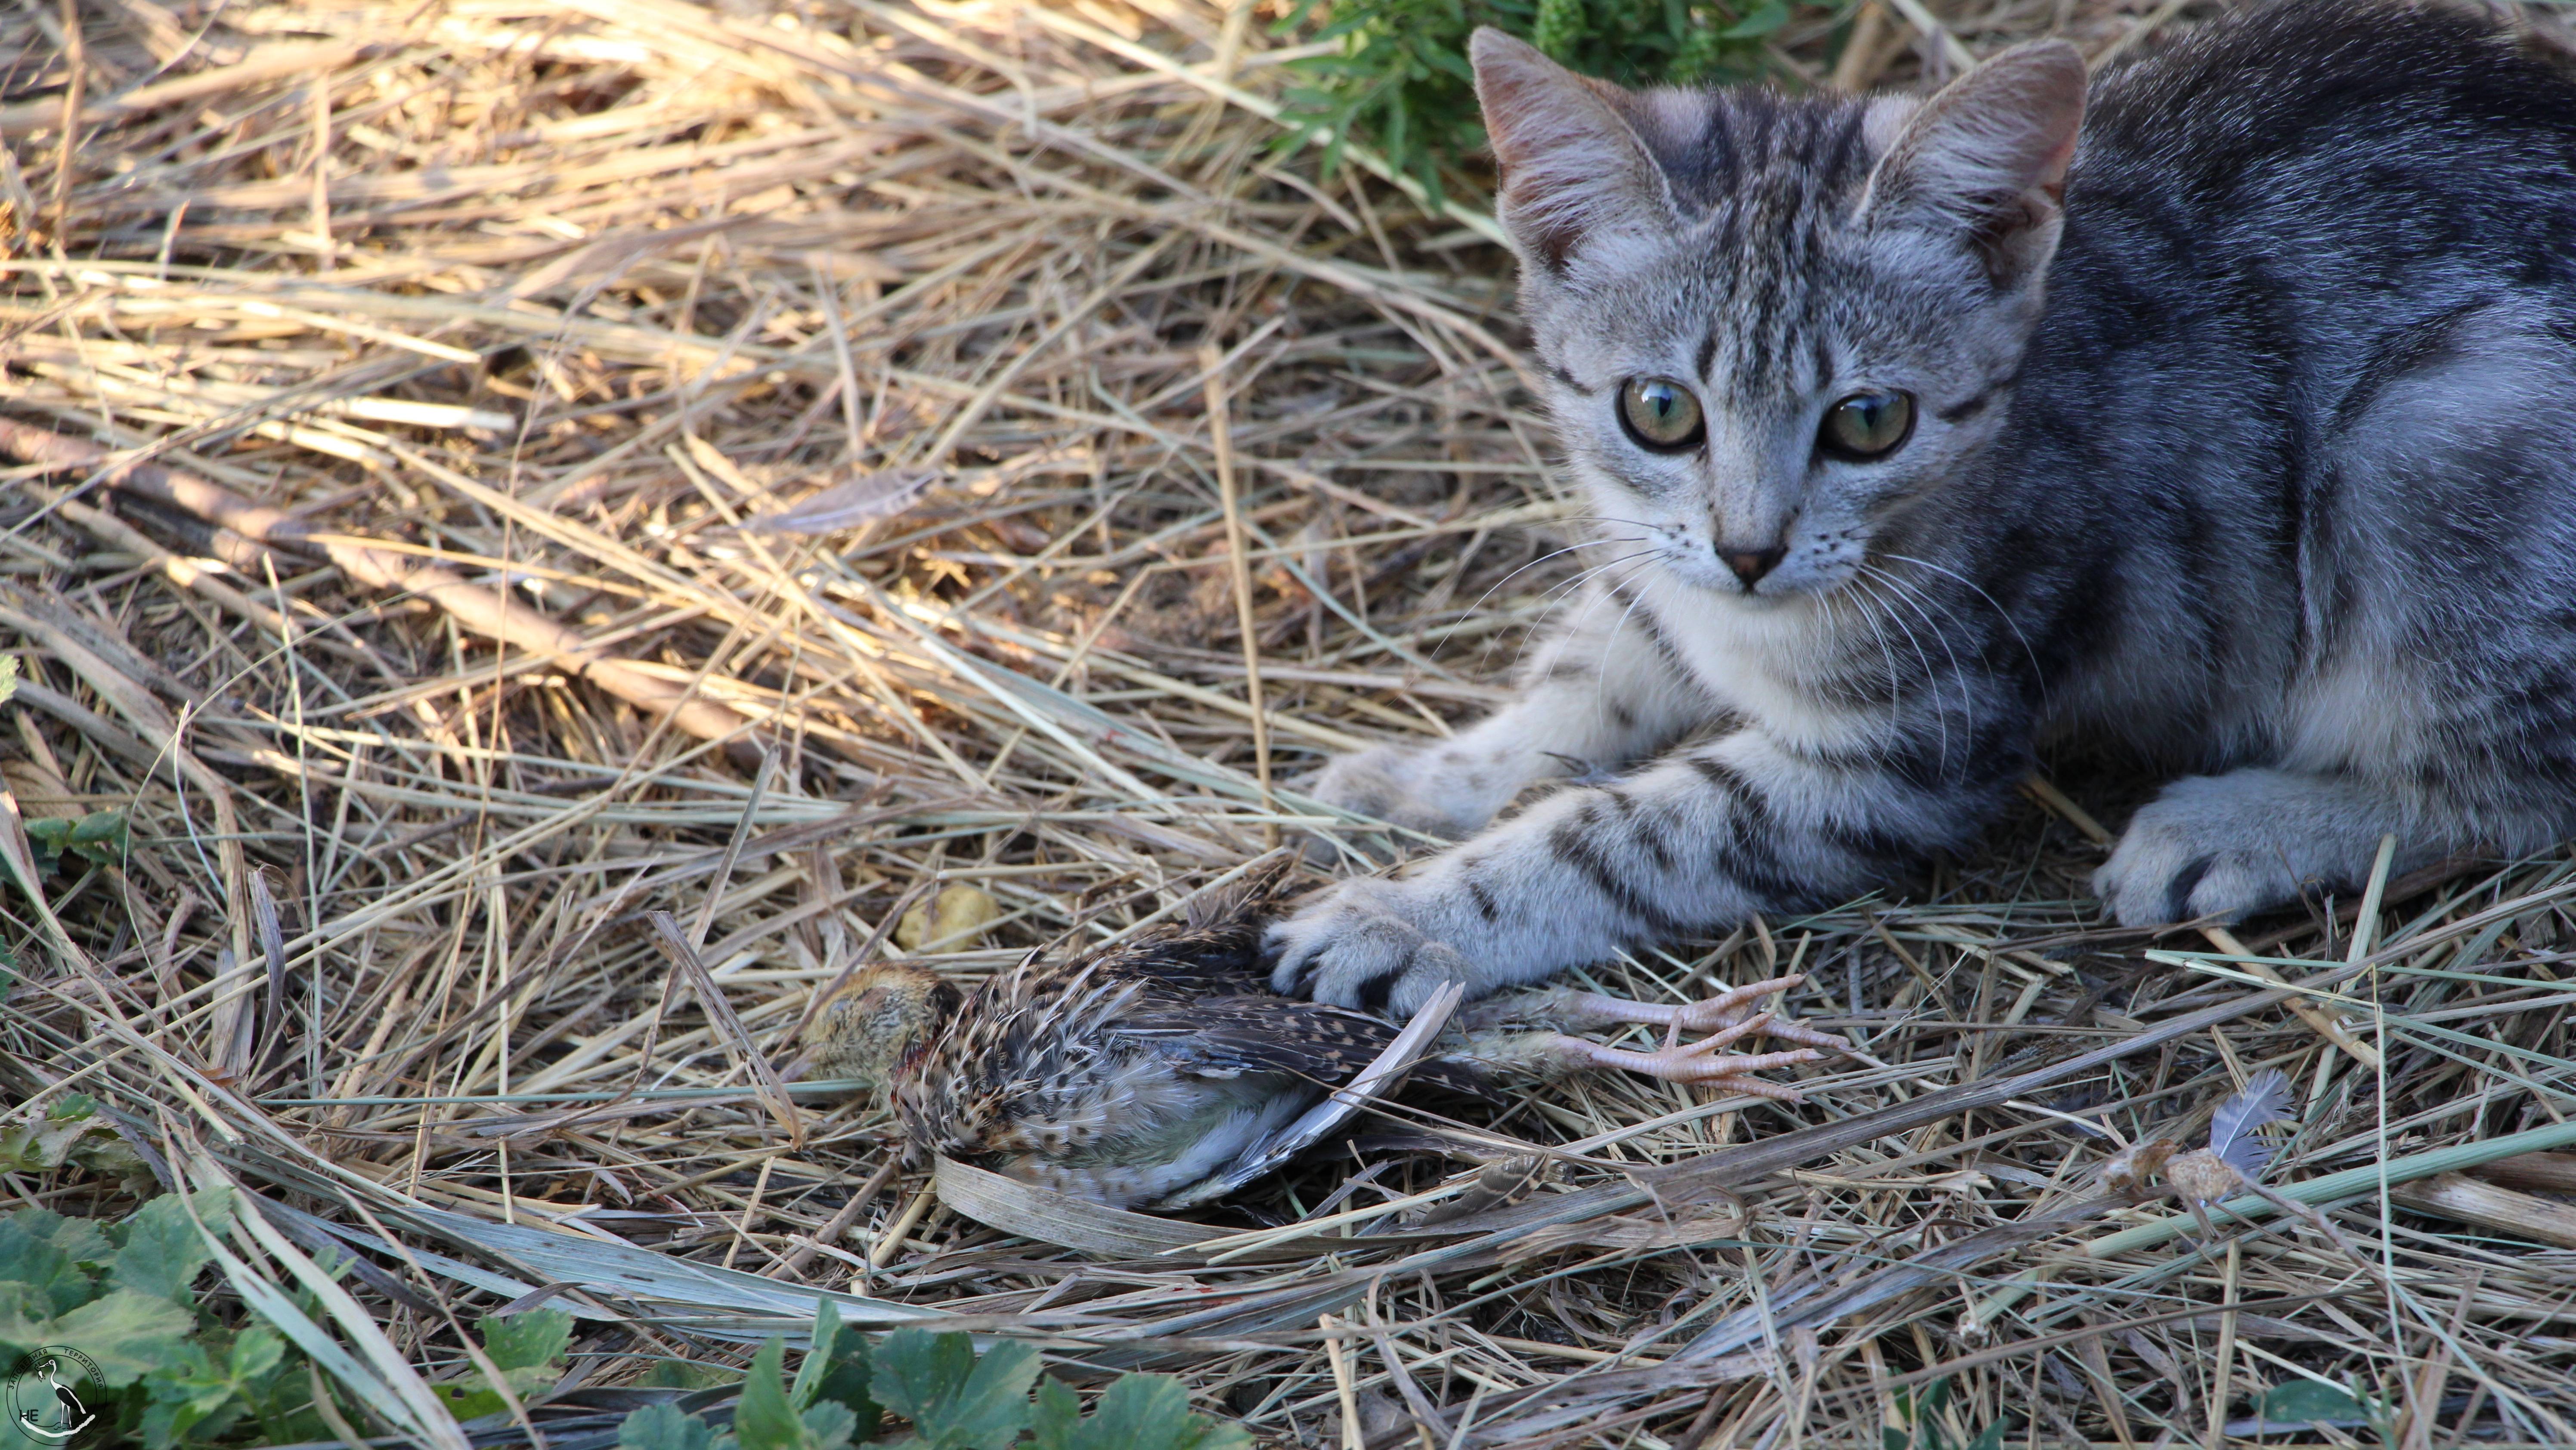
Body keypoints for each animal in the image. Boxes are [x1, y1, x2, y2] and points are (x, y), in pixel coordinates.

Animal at [1262, 0, 2576, 1015]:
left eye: (1868, 422)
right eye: (1658, 409)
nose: (1750, 550)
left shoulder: (1910, 750)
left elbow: (1627, 833)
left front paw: (1415, 916)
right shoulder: (1658, 574)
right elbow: (1582, 677)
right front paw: (1426, 778)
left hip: (2435, 431)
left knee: (2517, 791)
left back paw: (2241, 830)